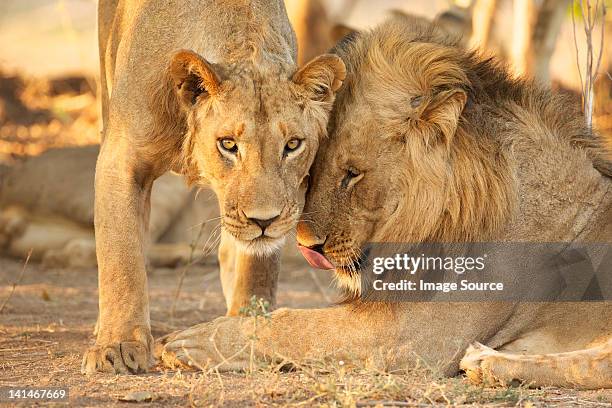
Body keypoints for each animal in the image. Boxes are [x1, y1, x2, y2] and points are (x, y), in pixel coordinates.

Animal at [160, 17, 612, 388]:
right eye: (311, 167)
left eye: (352, 174)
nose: (306, 245)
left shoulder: (419, 332)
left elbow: (298, 326)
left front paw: (190, 340)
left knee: (593, 366)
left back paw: (489, 363)